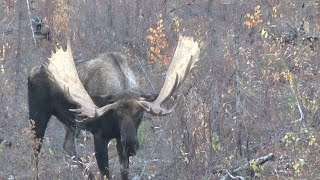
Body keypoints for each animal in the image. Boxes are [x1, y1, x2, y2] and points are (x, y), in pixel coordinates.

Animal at [28, 35, 201, 179]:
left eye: (140, 114)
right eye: (116, 114)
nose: (131, 146)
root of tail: (32, 71)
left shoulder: (120, 139)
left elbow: (124, 173)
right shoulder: (99, 136)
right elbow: (106, 173)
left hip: (72, 124)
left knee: (68, 146)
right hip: (37, 116)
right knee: (35, 151)